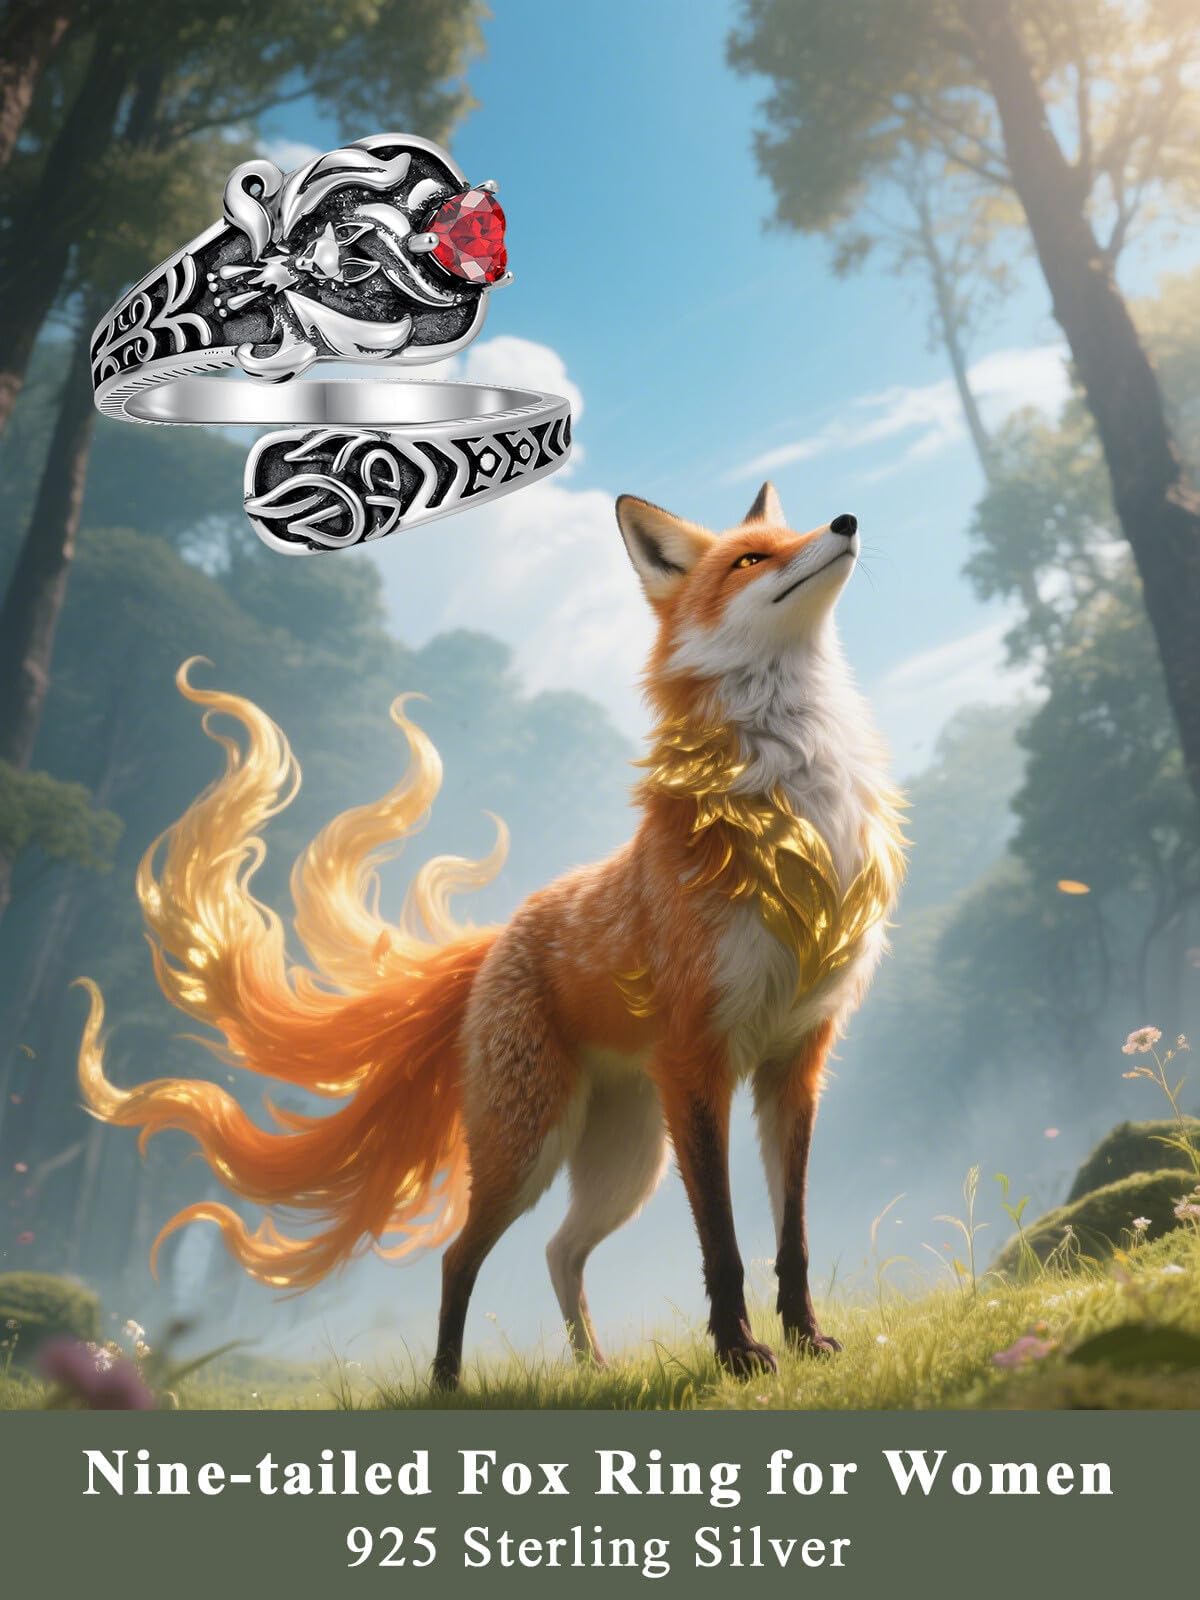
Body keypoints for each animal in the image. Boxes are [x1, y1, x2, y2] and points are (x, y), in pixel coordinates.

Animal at [77, 481, 906, 1387]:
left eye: (796, 532)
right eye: (752, 558)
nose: (848, 522)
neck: (794, 805)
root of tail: (500, 936)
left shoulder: (795, 1059)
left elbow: (792, 1237)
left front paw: (805, 1339)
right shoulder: (700, 1060)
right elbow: (722, 1246)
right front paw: (738, 1354)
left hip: (626, 1161)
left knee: (558, 1251)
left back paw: (593, 1369)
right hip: (533, 1148)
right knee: (459, 1255)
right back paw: (447, 1383)